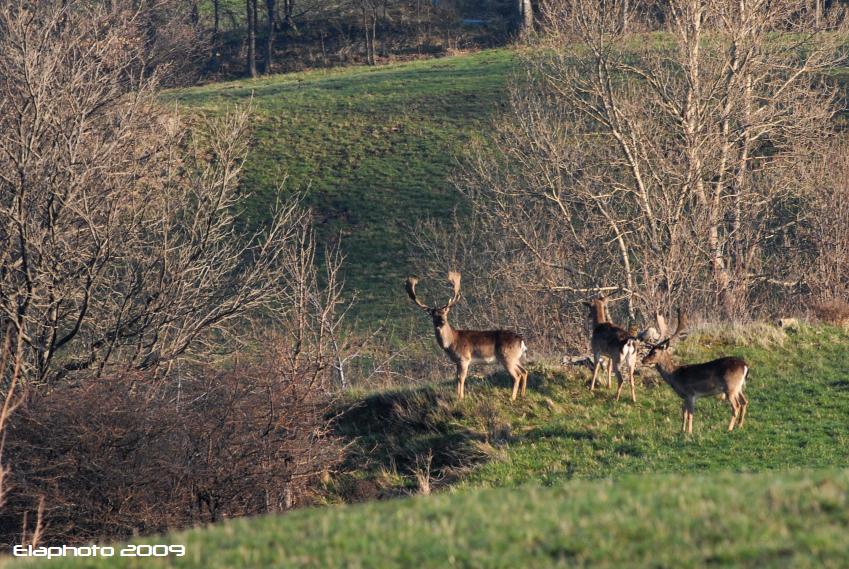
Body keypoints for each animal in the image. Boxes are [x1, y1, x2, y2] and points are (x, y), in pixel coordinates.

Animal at [402, 272, 524, 400]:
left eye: (445, 313)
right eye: (434, 315)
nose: (442, 321)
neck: (451, 342)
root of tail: (521, 340)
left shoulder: (464, 358)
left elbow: (461, 378)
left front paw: (461, 397)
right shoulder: (457, 361)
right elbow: (456, 378)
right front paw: (458, 395)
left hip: (507, 357)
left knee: (517, 375)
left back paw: (512, 398)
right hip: (515, 358)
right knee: (523, 371)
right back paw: (522, 394)